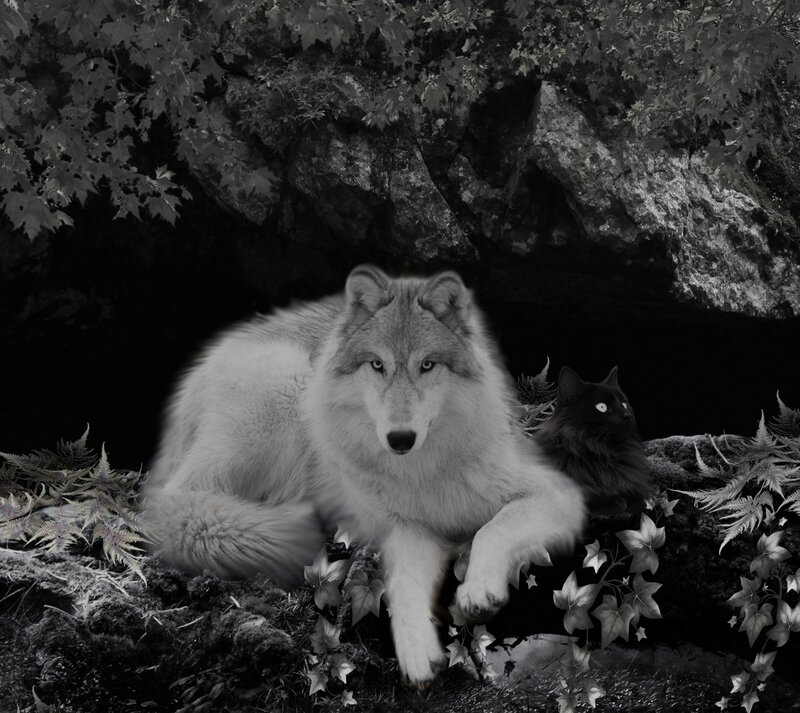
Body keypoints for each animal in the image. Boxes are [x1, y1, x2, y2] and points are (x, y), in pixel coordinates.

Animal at [142, 265, 585, 686]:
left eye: (427, 365)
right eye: (377, 365)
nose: (400, 438)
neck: (425, 471)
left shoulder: (555, 495)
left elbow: (492, 528)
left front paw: (475, 593)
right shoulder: (409, 528)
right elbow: (403, 583)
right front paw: (417, 650)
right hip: (288, 389)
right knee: (181, 502)